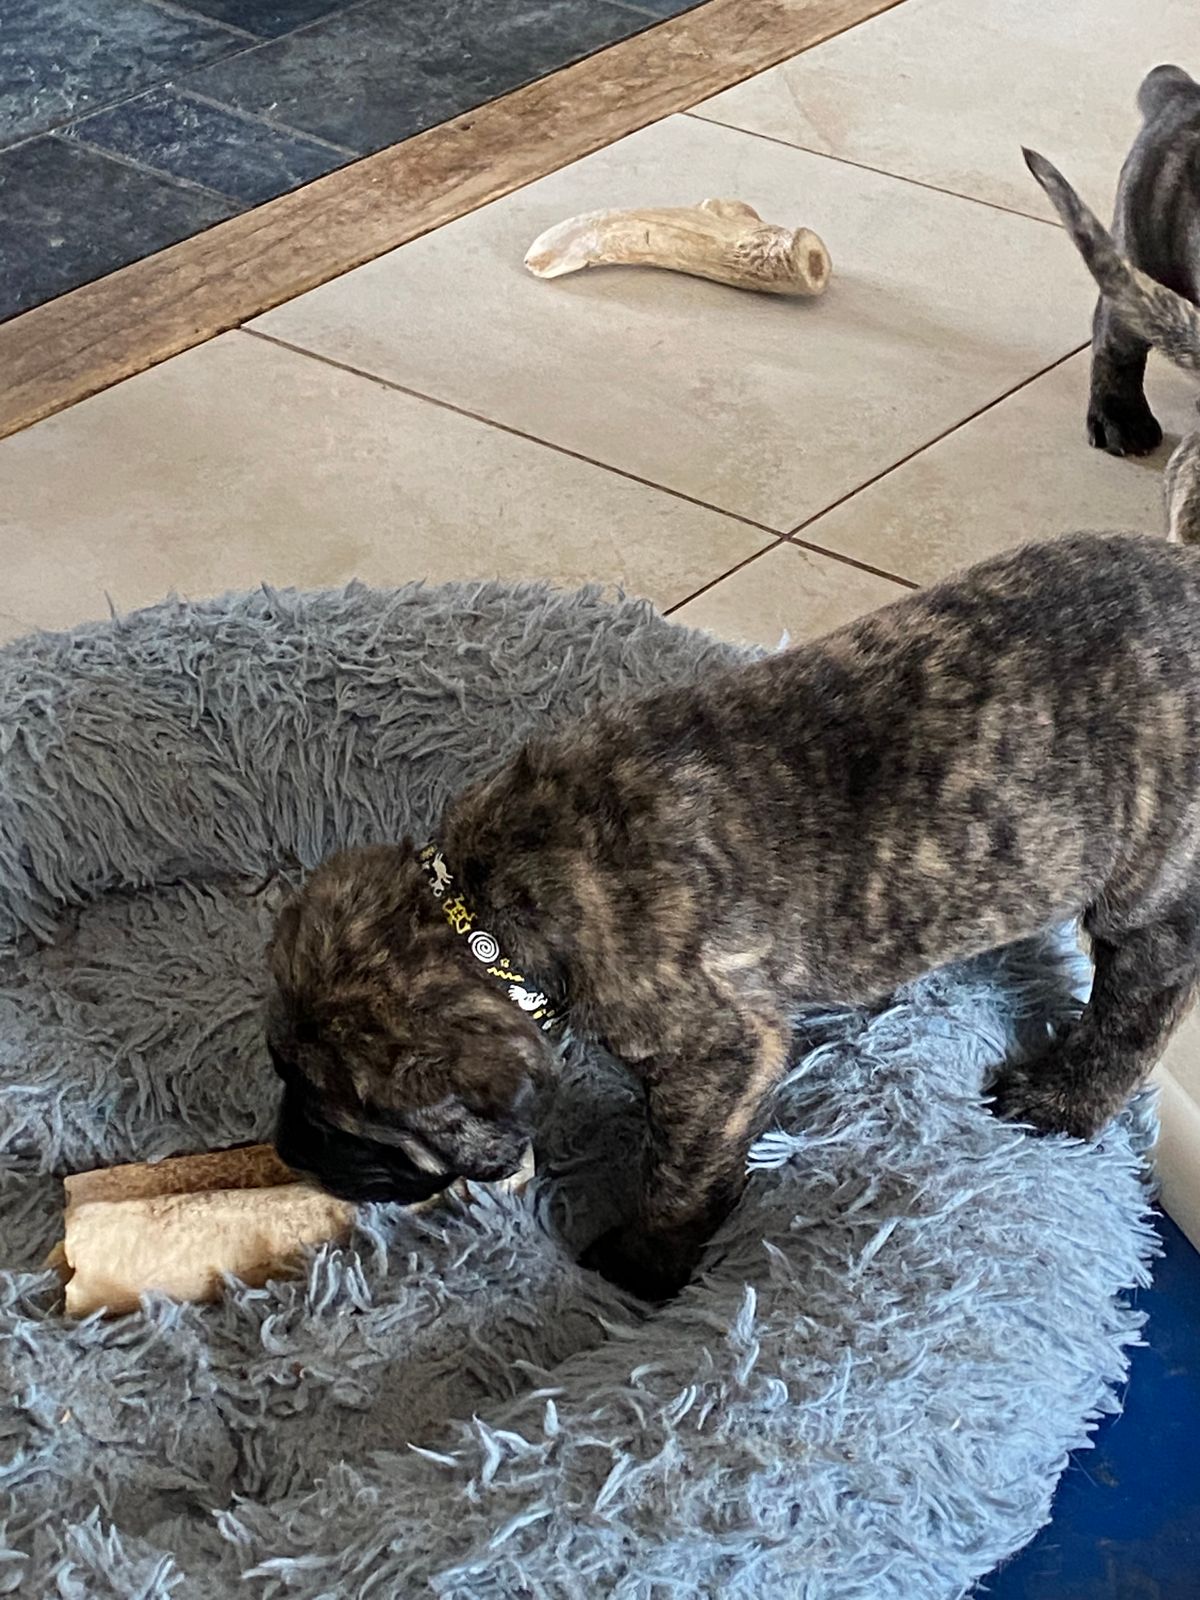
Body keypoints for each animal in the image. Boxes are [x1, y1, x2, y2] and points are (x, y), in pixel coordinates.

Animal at [269, 532, 1200, 1301]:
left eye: (345, 1119)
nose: (283, 1154)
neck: (487, 900)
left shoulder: (714, 1053)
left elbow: (681, 1171)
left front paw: (644, 1264)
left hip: (1151, 884)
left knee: (1141, 1001)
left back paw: (1061, 1099)